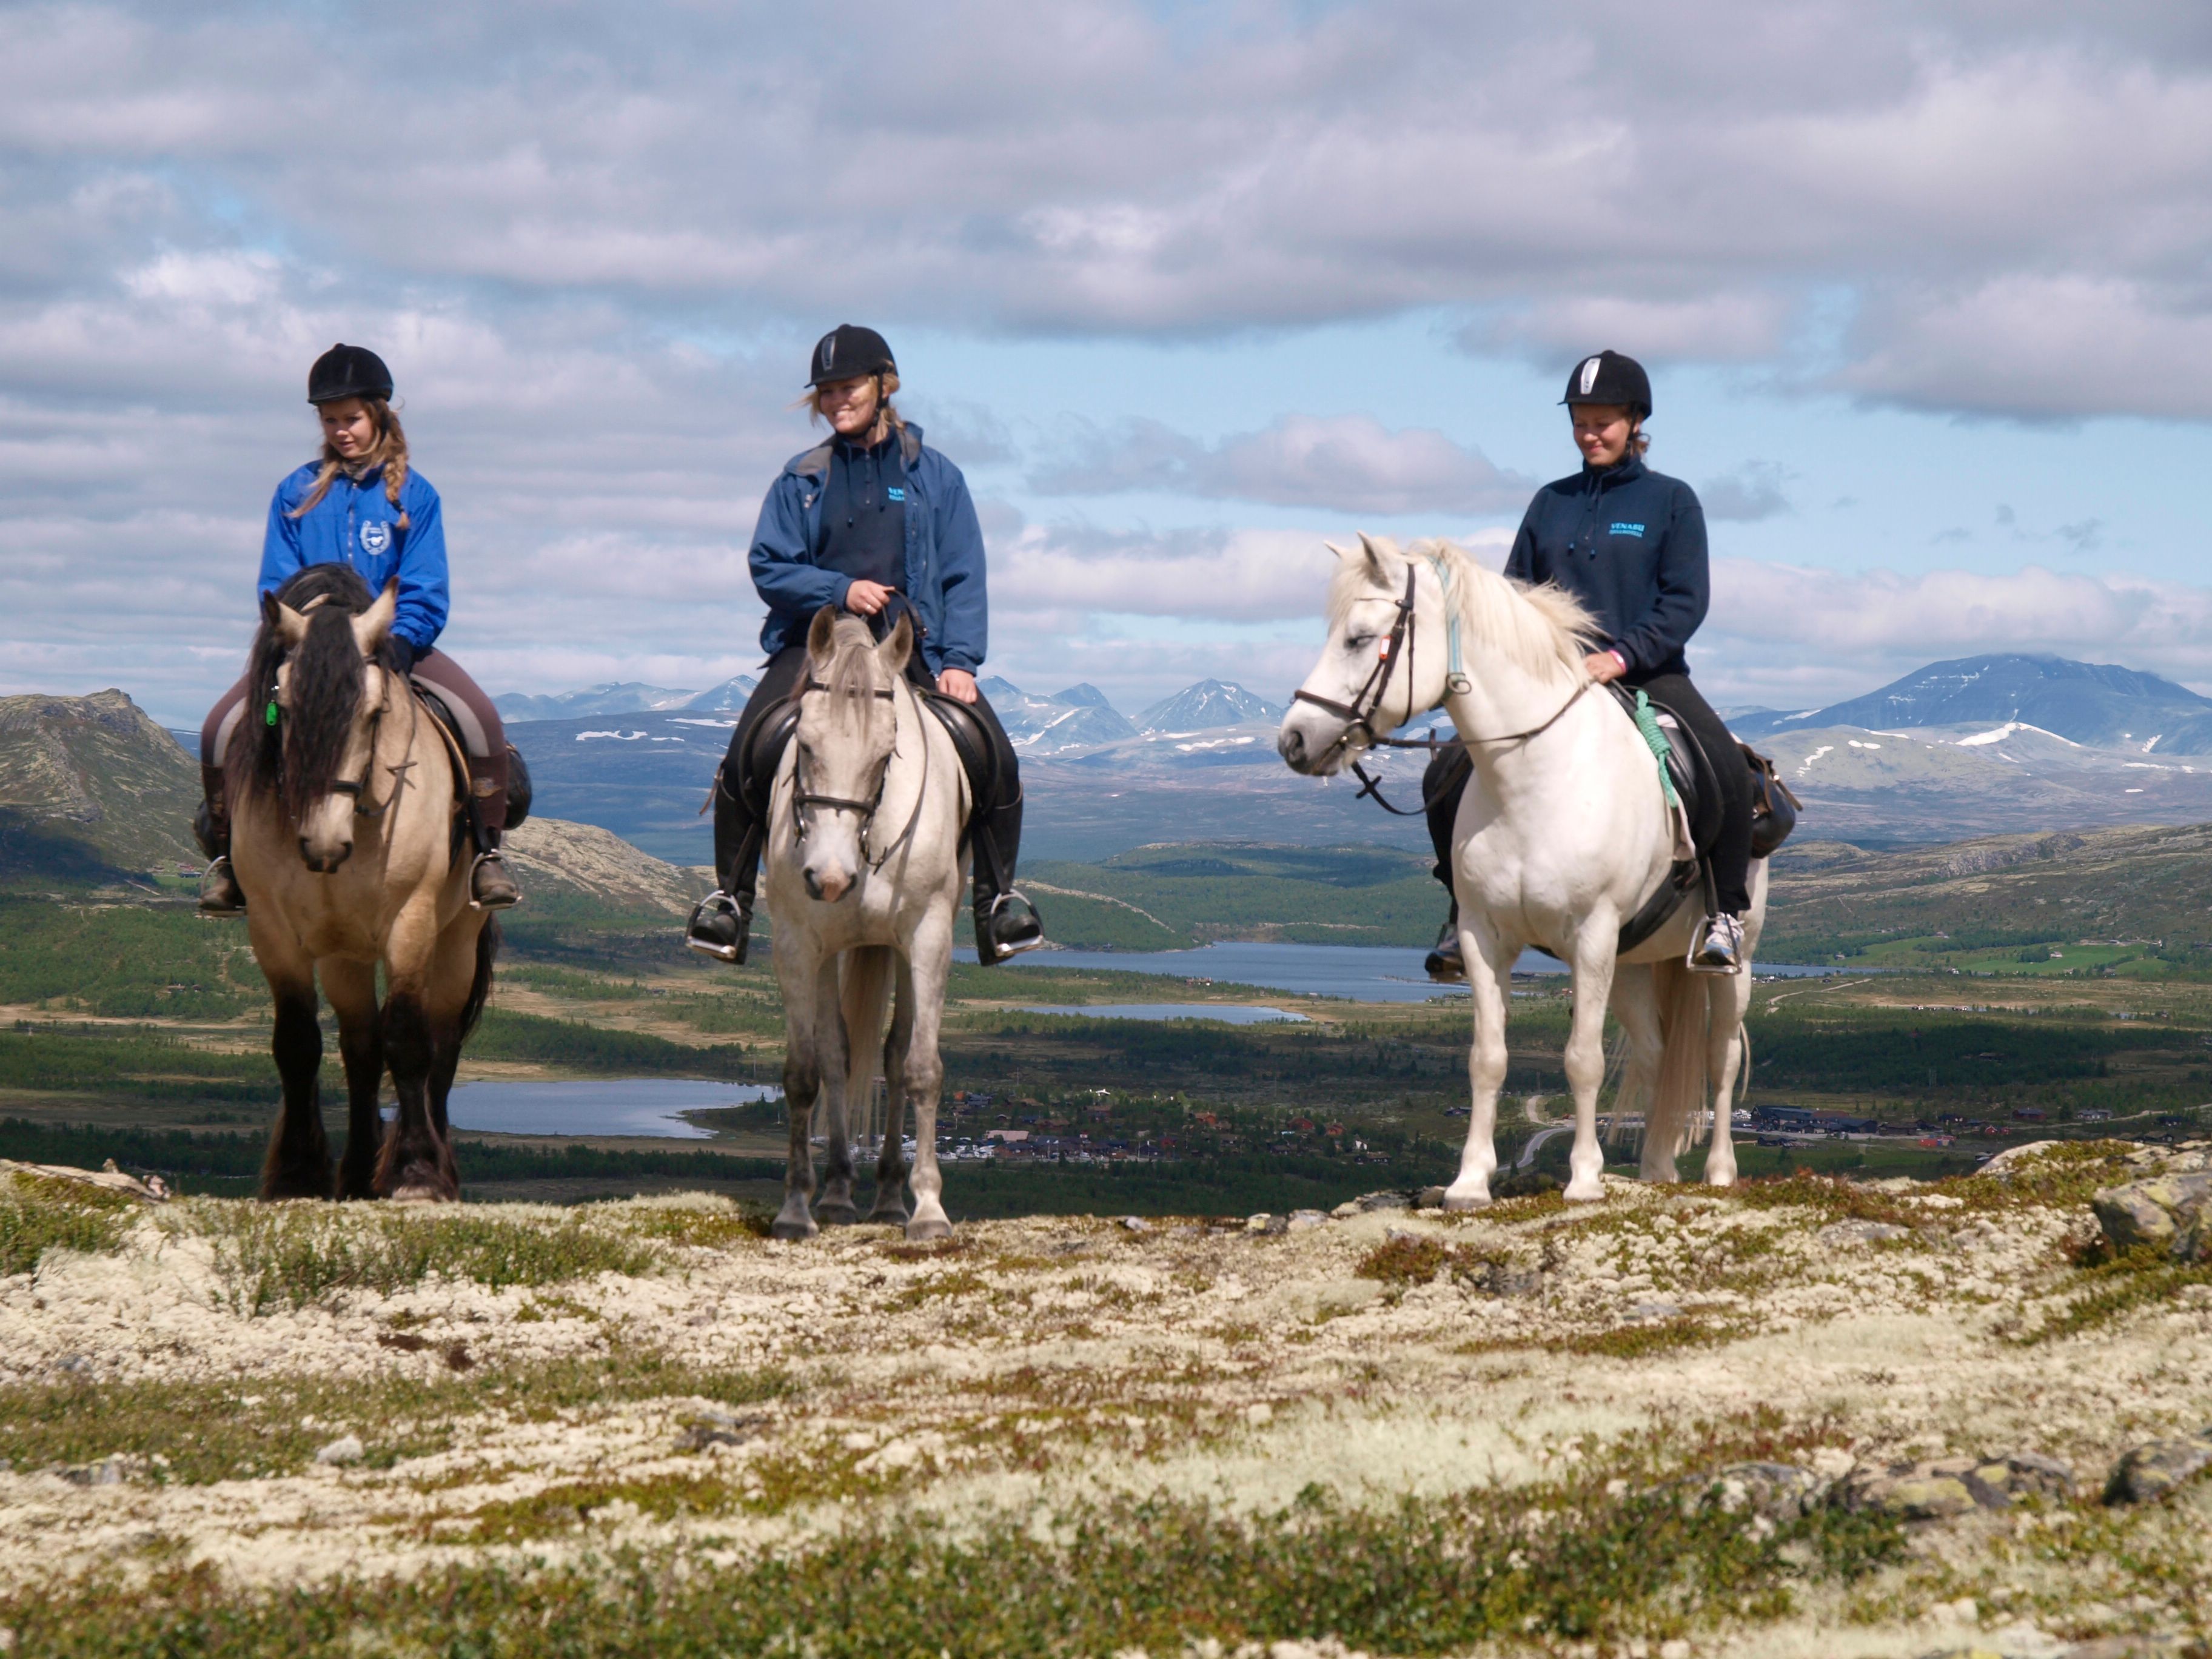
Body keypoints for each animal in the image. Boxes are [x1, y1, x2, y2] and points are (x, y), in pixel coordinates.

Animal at [224, 566, 496, 1202]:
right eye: (283, 707)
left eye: (374, 712)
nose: (323, 844)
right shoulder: (273, 932)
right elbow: (299, 1045)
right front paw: (298, 1173)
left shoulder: (411, 923)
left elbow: (410, 1040)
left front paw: (416, 1173)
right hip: (343, 955)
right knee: (360, 1048)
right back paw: (355, 1172)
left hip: (457, 941)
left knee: (442, 1047)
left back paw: (435, 1167)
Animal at [762, 608, 969, 1242]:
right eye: (804, 745)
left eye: (886, 755)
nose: (830, 880)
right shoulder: (796, 944)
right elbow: (805, 1072)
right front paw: (795, 1208)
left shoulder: (929, 937)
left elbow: (922, 1068)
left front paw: (929, 1210)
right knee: (838, 1053)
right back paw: (836, 1194)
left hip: (901, 947)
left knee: (896, 1057)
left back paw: (889, 1199)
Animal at [1277, 534, 1767, 1206]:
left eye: (1359, 637)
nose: (1294, 740)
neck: (1534, 778)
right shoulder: (1485, 937)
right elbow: (1488, 1057)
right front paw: (1469, 1182)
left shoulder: (1591, 937)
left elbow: (1583, 1059)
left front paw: (1584, 1180)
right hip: (1635, 961)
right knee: (1655, 1053)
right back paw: (1655, 1170)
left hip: (1730, 958)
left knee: (1720, 1057)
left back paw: (1718, 1171)